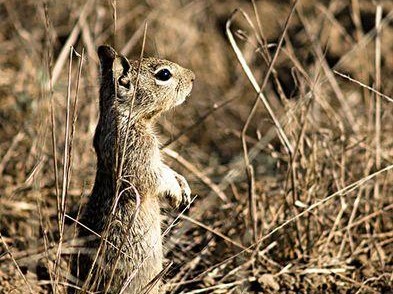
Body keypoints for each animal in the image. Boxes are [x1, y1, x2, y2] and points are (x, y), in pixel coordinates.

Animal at [71, 44, 194, 292]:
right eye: (164, 74)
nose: (193, 77)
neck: (128, 116)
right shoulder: (142, 158)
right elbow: (158, 178)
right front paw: (177, 196)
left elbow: (170, 171)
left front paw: (184, 187)